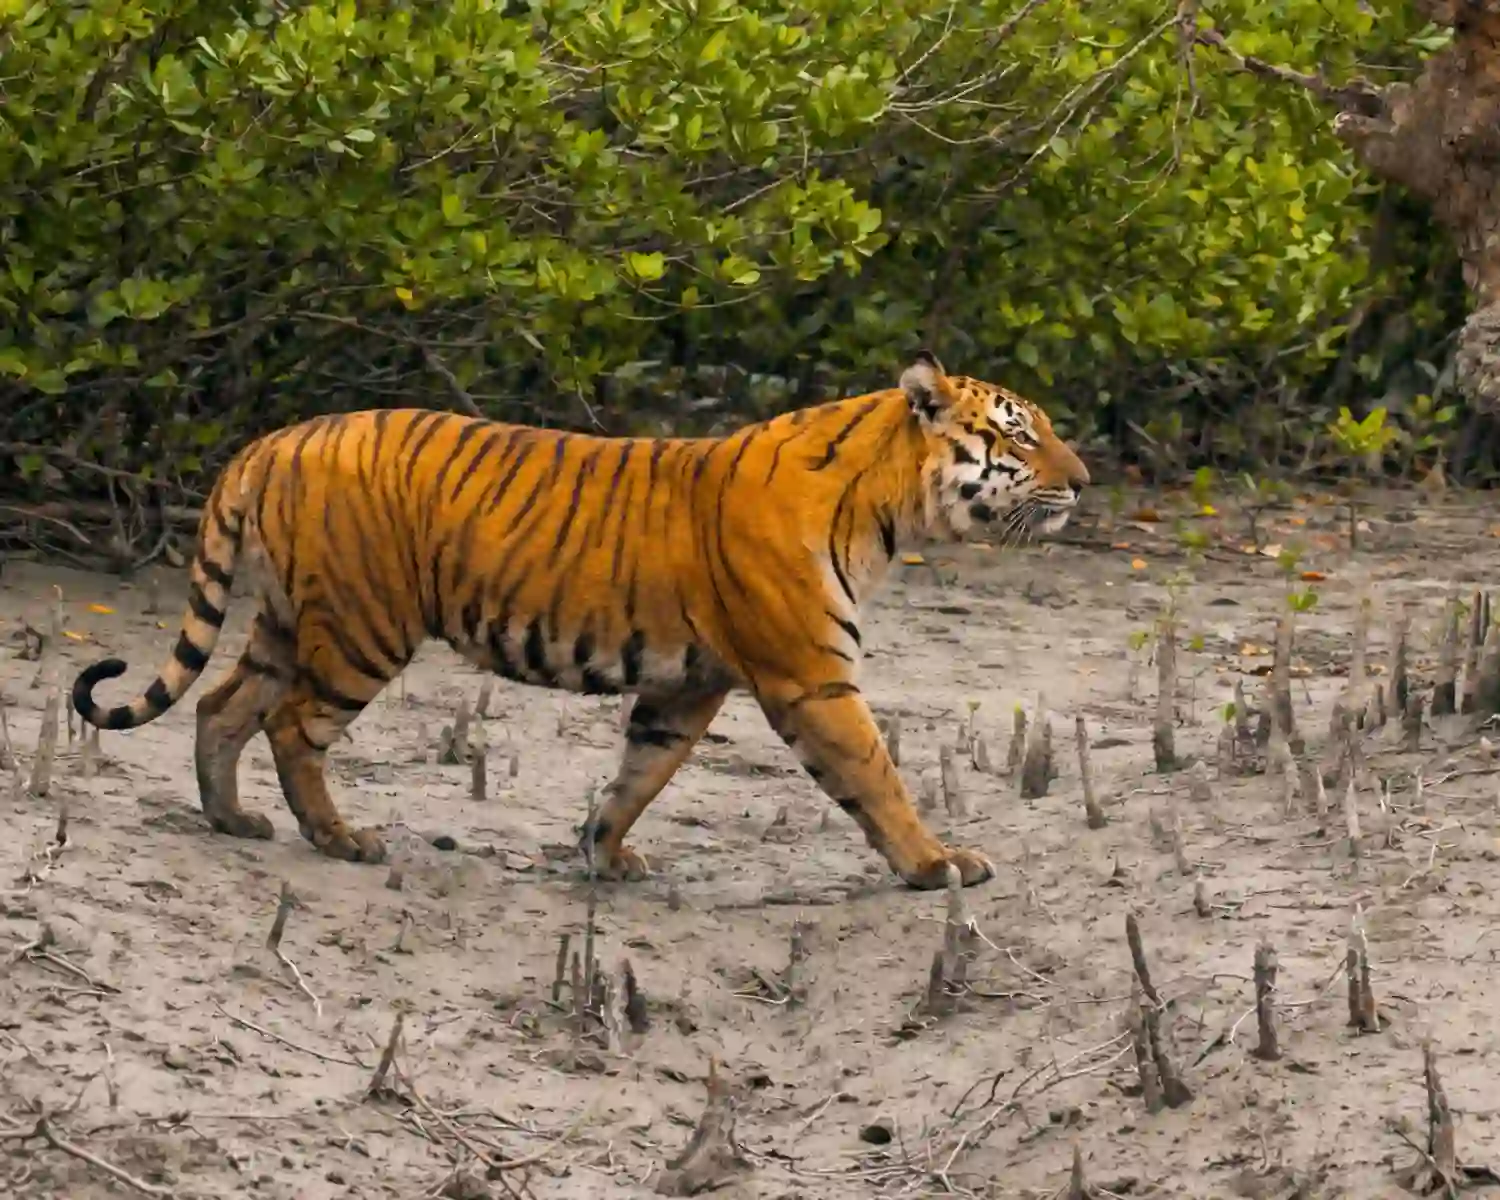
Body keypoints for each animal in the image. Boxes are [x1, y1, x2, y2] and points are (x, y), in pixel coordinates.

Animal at [71, 351, 1088, 891]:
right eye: (1020, 433)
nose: (1082, 482)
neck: (886, 505)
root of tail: (275, 437)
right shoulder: (811, 678)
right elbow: (878, 778)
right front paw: (937, 864)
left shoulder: (688, 685)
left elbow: (641, 774)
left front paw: (603, 853)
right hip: (362, 628)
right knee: (290, 728)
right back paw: (340, 840)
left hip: (290, 624)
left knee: (219, 709)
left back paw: (231, 820)